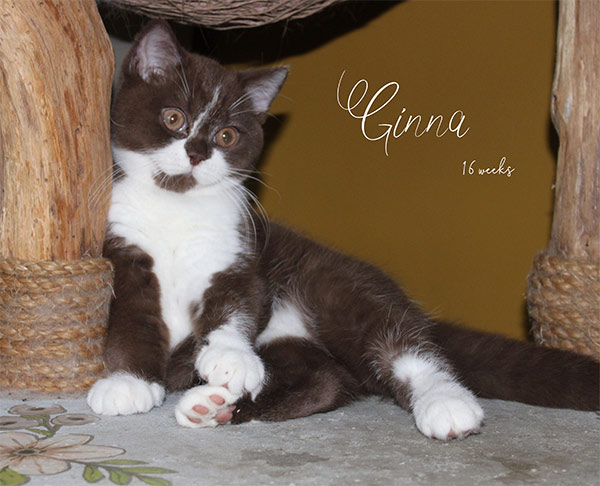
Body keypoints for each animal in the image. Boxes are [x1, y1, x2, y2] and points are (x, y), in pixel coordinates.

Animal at [87, 20, 599, 440]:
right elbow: (130, 319)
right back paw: (214, 406)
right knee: (324, 378)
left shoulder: (240, 251)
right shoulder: (123, 251)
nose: (196, 153)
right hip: (297, 344)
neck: (176, 206)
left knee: (400, 345)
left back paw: (448, 404)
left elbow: (236, 302)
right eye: (173, 117)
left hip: (335, 286)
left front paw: (229, 357)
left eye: (227, 136)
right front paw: (129, 382)